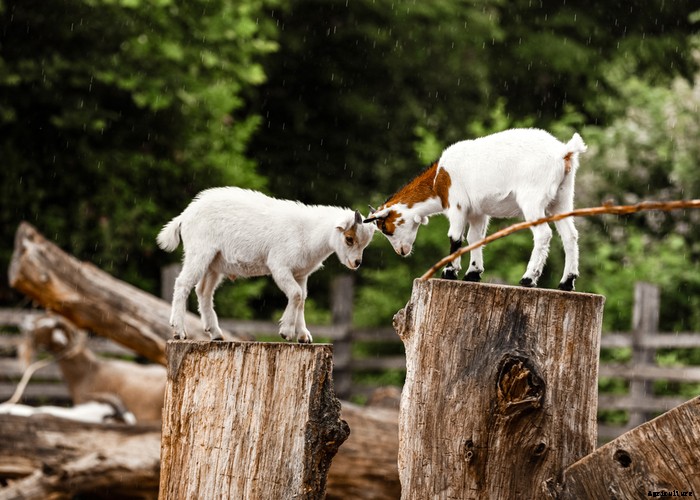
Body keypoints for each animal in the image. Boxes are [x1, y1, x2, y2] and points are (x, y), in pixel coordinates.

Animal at [157, 187, 375, 343]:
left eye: (365, 243)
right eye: (349, 239)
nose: (356, 263)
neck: (307, 232)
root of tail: (185, 216)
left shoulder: (301, 274)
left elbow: (302, 298)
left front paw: (304, 336)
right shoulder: (279, 266)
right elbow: (296, 294)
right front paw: (286, 332)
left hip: (214, 264)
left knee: (203, 291)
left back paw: (216, 333)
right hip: (199, 252)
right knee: (183, 283)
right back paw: (179, 331)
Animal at [364, 128, 587, 290]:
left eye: (385, 228)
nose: (401, 252)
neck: (438, 179)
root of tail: (564, 152)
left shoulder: (456, 204)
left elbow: (455, 237)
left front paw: (449, 272)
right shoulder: (478, 212)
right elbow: (475, 238)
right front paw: (473, 273)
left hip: (532, 198)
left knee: (543, 234)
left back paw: (528, 279)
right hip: (562, 199)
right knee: (570, 235)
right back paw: (566, 282)